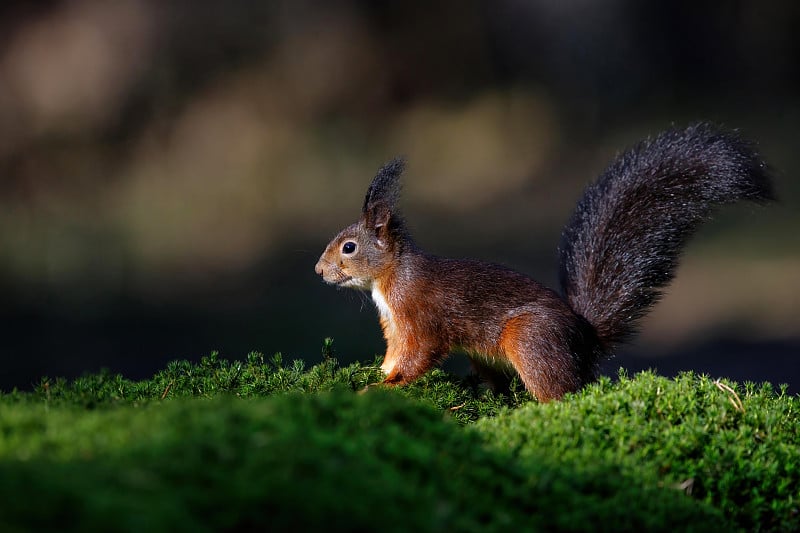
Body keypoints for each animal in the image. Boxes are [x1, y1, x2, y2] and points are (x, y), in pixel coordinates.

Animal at [314, 124, 776, 400]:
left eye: (348, 248)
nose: (318, 271)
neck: (389, 278)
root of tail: (586, 339)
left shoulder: (419, 314)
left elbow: (419, 355)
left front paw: (385, 386)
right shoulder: (394, 324)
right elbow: (395, 351)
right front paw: (379, 371)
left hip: (530, 339)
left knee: (562, 392)